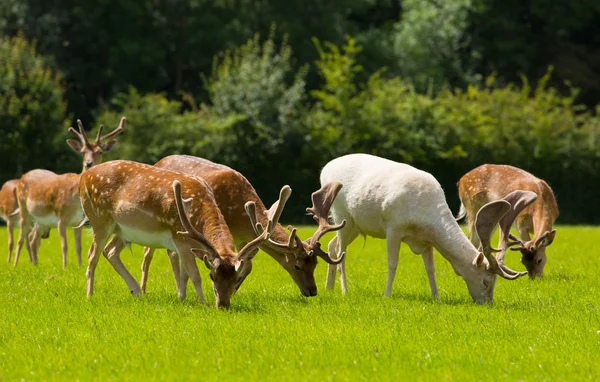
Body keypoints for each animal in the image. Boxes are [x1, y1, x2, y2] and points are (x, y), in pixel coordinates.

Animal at [13, 118, 125, 268]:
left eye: (100, 152)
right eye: (83, 152)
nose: (89, 163)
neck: (75, 200)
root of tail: (22, 177)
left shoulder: (78, 222)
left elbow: (78, 247)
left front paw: (79, 266)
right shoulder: (61, 217)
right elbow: (64, 245)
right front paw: (65, 267)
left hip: (40, 219)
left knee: (32, 238)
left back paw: (35, 264)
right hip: (23, 208)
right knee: (21, 237)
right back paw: (15, 264)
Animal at [78, 160, 290, 308]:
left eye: (237, 278)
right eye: (212, 276)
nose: (223, 305)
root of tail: (83, 178)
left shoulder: (187, 246)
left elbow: (183, 274)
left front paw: (181, 299)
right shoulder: (179, 237)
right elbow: (194, 275)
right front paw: (203, 304)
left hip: (122, 231)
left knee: (110, 251)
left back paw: (136, 291)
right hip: (99, 219)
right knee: (92, 256)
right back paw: (89, 296)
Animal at [139, 155, 346, 298]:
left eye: (315, 264)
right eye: (297, 265)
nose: (312, 291)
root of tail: (158, 162)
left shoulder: (243, 238)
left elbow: (247, 266)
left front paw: (232, 290)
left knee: (171, 253)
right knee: (149, 253)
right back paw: (143, 289)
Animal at [324, 154, 536, 302]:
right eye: (485, 281)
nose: (488, 302)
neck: (423, 215)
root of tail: (326, 168)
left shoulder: (426, 240)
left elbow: (430, 269)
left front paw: (436, 297)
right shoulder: (393, 227)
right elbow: (392, 263)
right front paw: (387, 295)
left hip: (355, 226)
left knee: (332, 245)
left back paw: (329, 288)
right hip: (342, 215)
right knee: (341, 253)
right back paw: (344, 290)